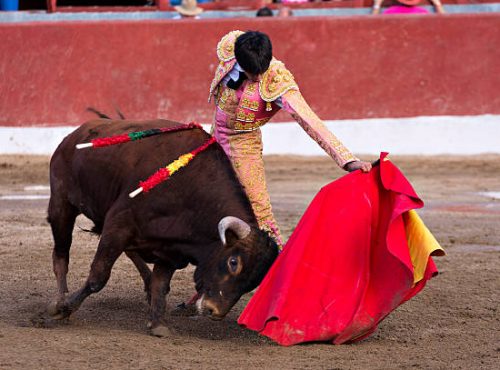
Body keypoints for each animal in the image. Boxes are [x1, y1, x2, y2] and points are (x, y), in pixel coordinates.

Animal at [46, 120, 280, 336]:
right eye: (233, 262)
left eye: (254, 281)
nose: (215, 311)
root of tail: (73, 135)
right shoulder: (118, 226)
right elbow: (98, 276)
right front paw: (64, 308)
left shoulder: (170, 249)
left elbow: (161, 284)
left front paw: (158, 324)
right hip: (62, 204)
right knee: (61, 255)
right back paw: (59, 299)